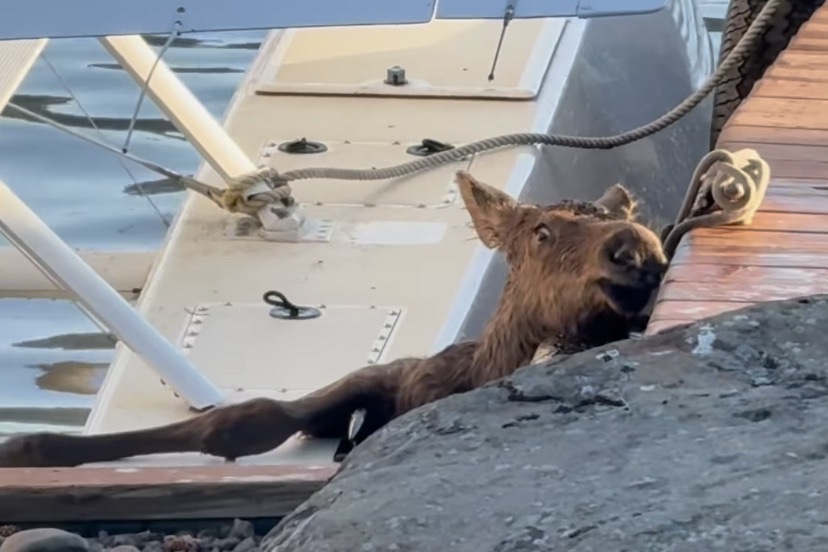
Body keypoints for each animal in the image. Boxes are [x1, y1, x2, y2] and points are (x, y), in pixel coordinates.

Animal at [0, 170, 667, 468]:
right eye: (540, 230)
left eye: (630, 218)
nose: (634, 248)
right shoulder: (382, 378)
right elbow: (244, 418)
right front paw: (30, 445)